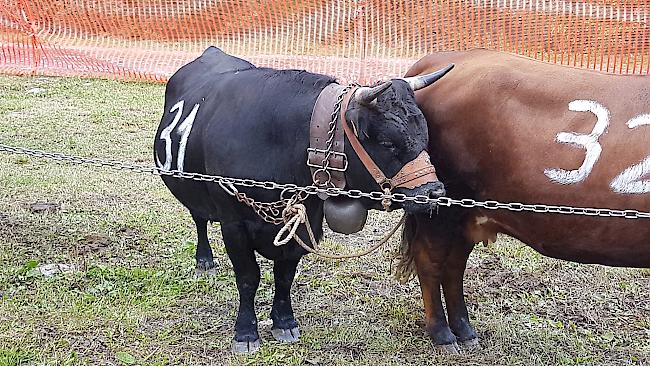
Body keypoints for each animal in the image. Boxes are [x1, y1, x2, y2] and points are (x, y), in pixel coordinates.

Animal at [155, 47, 450, 354]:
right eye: (387, 142)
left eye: (425, 135)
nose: (434, 193)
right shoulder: (233, 223)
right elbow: (248, 277)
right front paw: (245, 332)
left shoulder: (305, 222)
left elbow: (285, 275)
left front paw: (284, 322)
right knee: (199, 218)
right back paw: (204, 259)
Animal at [398, 48, 644, 352]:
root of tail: (445, 58)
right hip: (440, 207)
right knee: (430, 260)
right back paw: (442, 334)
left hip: (466, 214)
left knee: (454, 265)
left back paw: (465, 330)